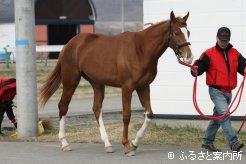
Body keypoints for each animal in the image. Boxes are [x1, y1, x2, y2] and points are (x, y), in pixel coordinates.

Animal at [39, 10, 192, 156]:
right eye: (177, 32)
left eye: (188, 32)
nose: (189, 57)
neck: (140, 49)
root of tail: (69, 45)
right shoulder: (127, 88)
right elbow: (126, 115)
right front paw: (127, 146)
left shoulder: (143, 87)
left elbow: (149, 114)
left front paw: (134, 143)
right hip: (71, 80)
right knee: (63, 106)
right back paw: (64, 143)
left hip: (97, 84)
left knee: (97, 109)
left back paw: (107, 144)